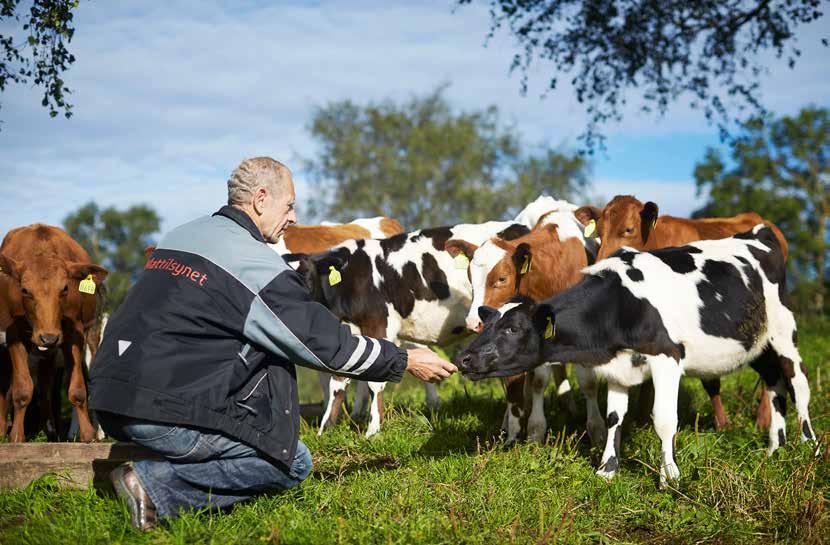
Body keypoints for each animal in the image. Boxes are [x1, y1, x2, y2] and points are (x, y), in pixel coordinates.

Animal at [0, 225, 107, 442]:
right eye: (25, 290)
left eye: (65, 288)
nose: (48, 337)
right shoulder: (12, 333)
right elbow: (22, 388)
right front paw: (16, 437)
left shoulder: (74, 333)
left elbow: (77, 389)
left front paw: (88, 435)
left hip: (91, 334)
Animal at [462, 225, 820, 484]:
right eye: (490, 323)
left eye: (513, 328)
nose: (464, 358)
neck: (622, 303)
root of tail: (757, 233)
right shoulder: (618, 366)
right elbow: (613, 418)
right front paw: (607, 469)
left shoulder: (667, 357)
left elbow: (664, 419)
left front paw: (669, 476)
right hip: (757, 343)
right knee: (774, 383)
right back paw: (774, 447)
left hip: (783, 330)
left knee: (798, 382)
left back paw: (809, 446)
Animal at [580, 196, 788, 430]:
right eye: (598, 232)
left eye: (628, 229)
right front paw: (642, 422)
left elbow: (708, 381)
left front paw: (721, 425)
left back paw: (763, 420)